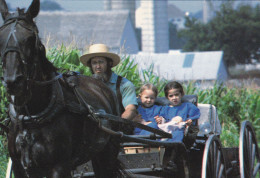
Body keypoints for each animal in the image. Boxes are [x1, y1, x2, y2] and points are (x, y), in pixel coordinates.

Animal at [0, 0, 130, 177]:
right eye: (0, 37)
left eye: (30, 38)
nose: (13, 81)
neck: (31, 115)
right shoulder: (21, 167)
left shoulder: (59, 166)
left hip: (108, 151)